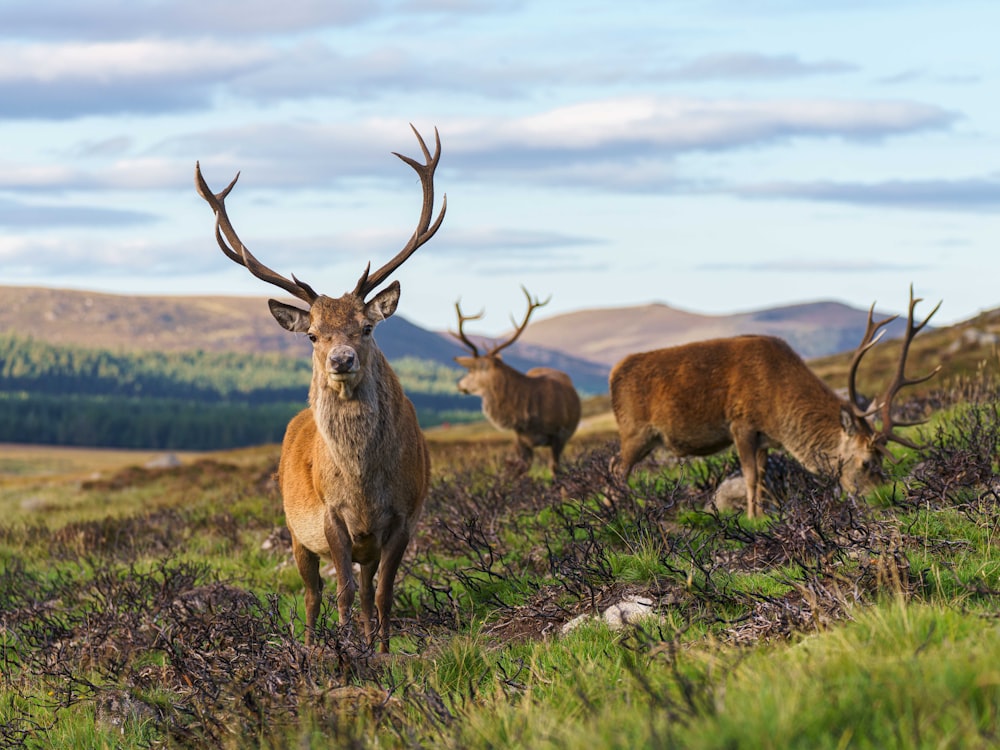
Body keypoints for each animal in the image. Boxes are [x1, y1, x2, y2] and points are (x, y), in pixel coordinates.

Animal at [195, 125, 446, 652]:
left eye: (366, 327)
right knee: (312, 595)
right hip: (294, 530)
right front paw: (344, 649)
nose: (341, 360)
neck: (364, 484)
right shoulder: (330, 517)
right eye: (313, 334)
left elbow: (384, 593)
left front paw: (382, 650)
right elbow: (343, 592)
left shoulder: (405, 516)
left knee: (368, 588)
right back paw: (311, 645)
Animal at [604, 288, 940, 516]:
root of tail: (613, 374)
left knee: (611, 465)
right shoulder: (741, 424)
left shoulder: (764, 437)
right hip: (634, 431)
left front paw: (764, 513)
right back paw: (620, 515)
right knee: (616, 470)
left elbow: (763, 477)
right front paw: (753, 517)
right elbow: (750, 476)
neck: (780, 413)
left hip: (645, 439)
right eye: (867, 462)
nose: (882, 496)